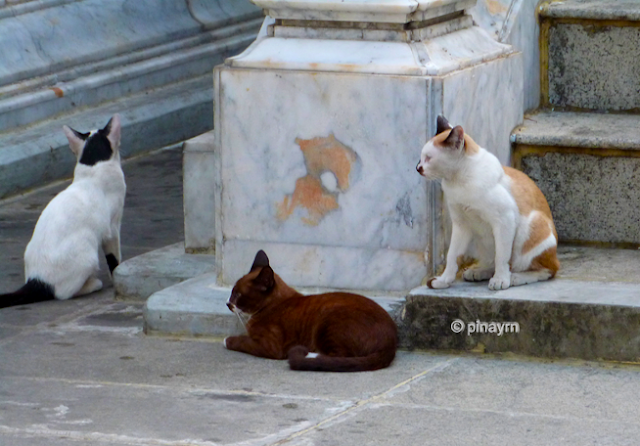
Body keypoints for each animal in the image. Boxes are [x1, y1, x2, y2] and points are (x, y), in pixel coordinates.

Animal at [0, 113, 127, 308]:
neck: (93, 168)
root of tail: (36, 280)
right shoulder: (112, 228)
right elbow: (114, 259)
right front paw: (116, 275)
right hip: (88, 254)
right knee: (63, 293)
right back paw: (92, 284)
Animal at [222, 251, 398, 372]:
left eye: (237, 295)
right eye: (232, 292)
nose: (227, 303)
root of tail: (390, 343)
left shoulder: (270, 346)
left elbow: (241, 340)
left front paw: (226, 340)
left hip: (328, 322)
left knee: (341, 355)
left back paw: (309, 354)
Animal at [418, 116, 556, 290]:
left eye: (429, 158)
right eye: (422, 157)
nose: (417, 167)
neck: (459, 182)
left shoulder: (504, 220)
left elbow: (502, 256)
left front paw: (501, 280)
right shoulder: (461, 224)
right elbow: (452, 255)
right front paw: (443, 281)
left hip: (530, 226)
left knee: (545, 270)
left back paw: (514, 277)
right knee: (494, 262)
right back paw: (478, 272)